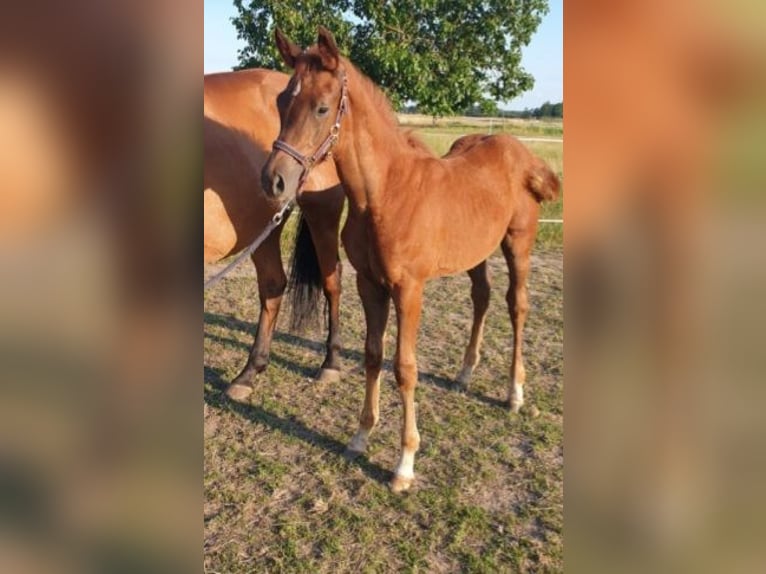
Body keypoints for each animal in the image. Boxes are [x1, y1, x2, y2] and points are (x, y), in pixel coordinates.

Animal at [204, 68, 346, 401]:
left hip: (322, 214)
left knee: (331, 280)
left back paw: (331, 362)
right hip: (263, 228)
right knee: (273, 285)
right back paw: (249, 373)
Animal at [261, 28, 560, 492]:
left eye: (322, 107)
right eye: (280, 102)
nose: (274, 180)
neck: (385, 193)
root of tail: (523, 155)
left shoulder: (408, 290)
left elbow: (405, 367)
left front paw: (404, 464)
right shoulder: (368, 283)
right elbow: (372, 355)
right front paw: (360, 437)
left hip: (518, 243)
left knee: (518, 305)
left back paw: (514, 392)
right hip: (475, 252)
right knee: (482, 297)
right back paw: (464, 374)